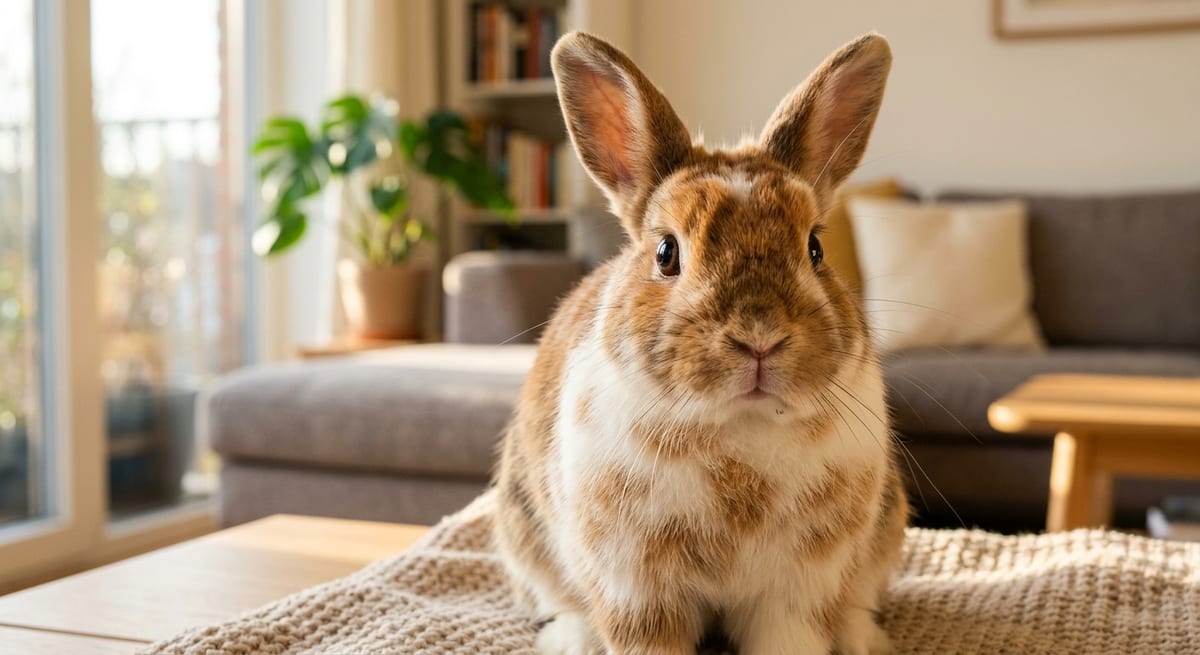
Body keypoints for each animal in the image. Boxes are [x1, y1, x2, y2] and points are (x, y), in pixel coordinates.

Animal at [492, 30, 907, 655]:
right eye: (666, 253)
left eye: (815, 248)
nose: (759, 338)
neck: (739, 432)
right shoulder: (637, 590)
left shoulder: (800, 593)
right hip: (521, 528)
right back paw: (572, 639)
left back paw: (863, 638)